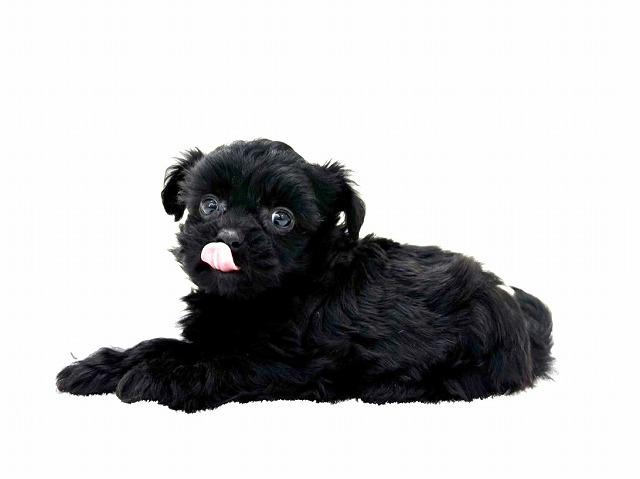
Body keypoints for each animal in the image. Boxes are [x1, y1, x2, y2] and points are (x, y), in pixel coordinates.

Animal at [57, 139, 553, 412]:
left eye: (282, 218)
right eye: (210, 205)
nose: (227, 237)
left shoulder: (291, 362)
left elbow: (223, 363)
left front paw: (158, 377)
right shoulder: (211, 335)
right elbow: (159, 344)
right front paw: (100, 366)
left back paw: (392, 386)